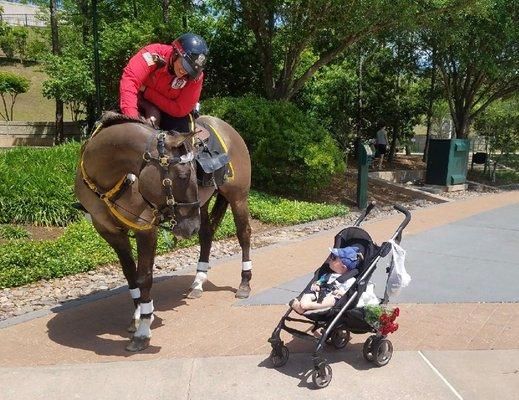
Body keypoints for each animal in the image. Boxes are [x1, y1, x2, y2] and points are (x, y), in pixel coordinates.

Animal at [74, 115, 252, 350]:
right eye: (184, 175)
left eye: (193, 171)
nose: (189, 227)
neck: (109, 184)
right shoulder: (109, 231)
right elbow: (130, 275)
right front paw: (138, 314)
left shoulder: (146, 229)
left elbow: (144, 277)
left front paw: (143, 328)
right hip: (202, 206)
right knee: (206, 234)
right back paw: (198, 281)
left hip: (237, 196)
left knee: (244, 234)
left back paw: (244, 283)